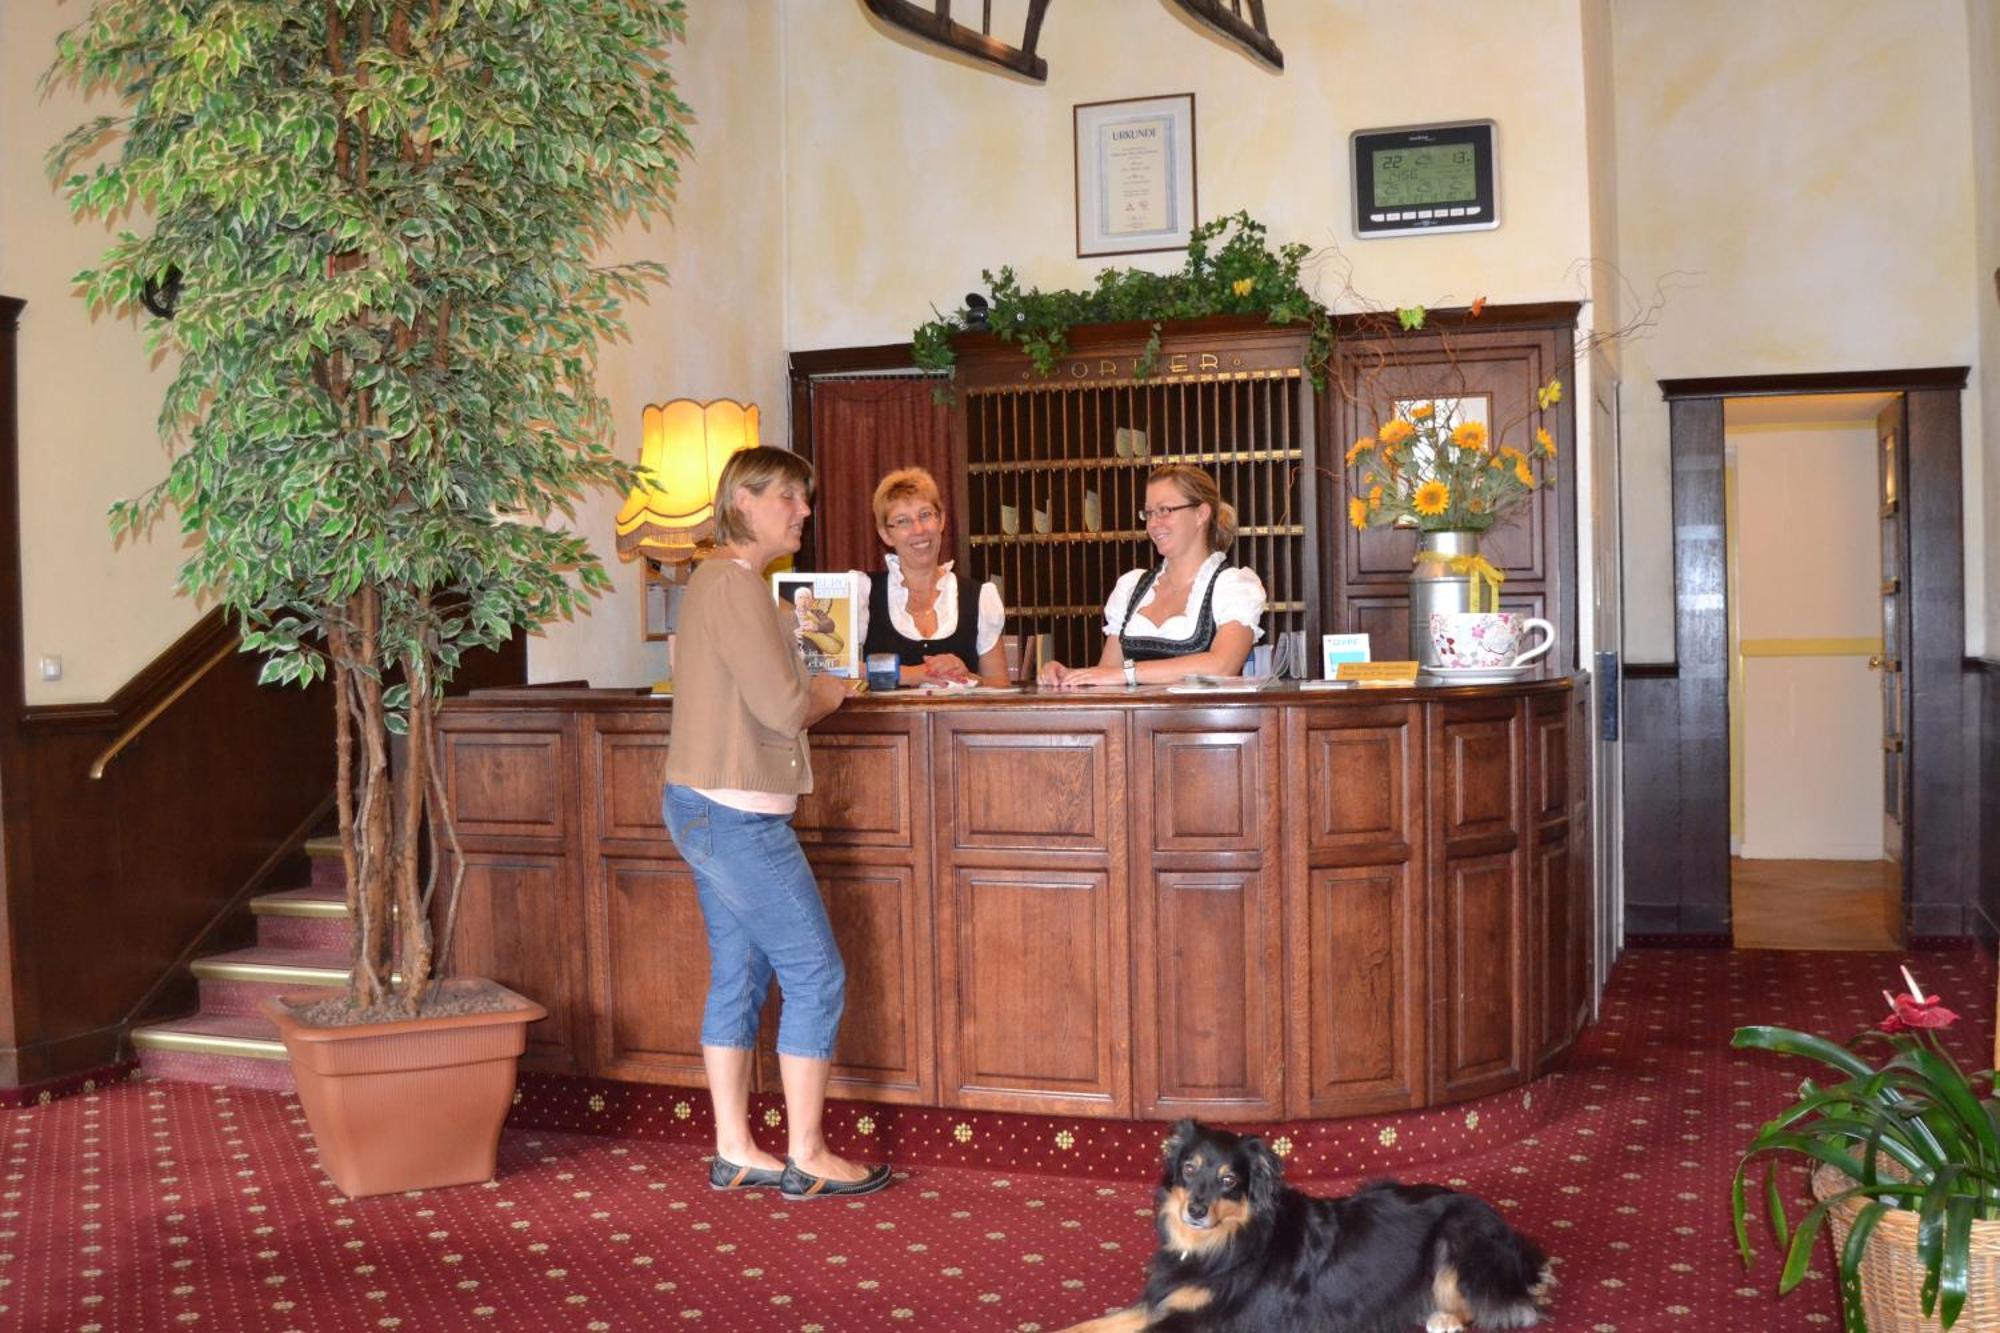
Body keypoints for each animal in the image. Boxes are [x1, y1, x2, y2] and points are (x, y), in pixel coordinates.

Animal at [1056, 1112, 1552, 1320]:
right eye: (1190, 1169)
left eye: (1228, 1180)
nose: (1194, 1210)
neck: (1224, 1245)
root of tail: (1512, 1237)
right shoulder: (1162, 1302)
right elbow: (1093, 1324)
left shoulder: (1204, 1320)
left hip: (1456, 1238)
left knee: (1505, 1310)